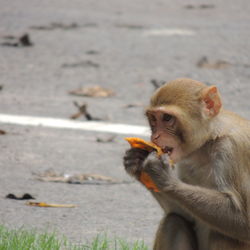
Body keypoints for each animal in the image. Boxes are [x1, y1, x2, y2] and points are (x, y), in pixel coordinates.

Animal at [124, 78, 250, 250]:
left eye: (167, 118)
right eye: (153, 119)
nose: (155, 137)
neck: (208, 141)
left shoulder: (233, 149)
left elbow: (244, 221)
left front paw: (165, 179)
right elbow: (184, 214)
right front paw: (136, 161)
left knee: (223, 235)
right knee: (174, 221)